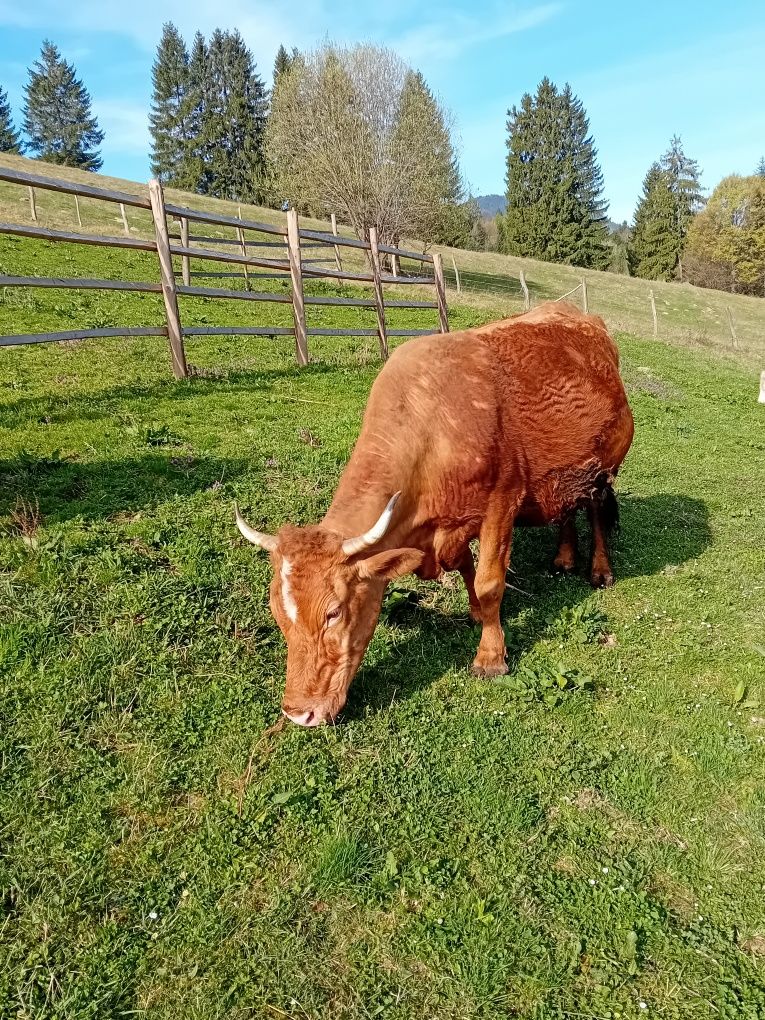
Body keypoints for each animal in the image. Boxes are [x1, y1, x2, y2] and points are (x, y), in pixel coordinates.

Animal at [233, 301, 636, 726]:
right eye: (278, 613)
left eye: (333, 613)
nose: (298, 713)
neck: (435, 427)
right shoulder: (448, 527)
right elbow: (465, 568)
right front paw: (475, 613)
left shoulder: (501, 504)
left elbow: (489, 583)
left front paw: (490, 656)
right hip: (564, 473)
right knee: (567, 508)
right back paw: (564, 557)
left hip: (604, 469)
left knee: (595, 512)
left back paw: (599, 570)